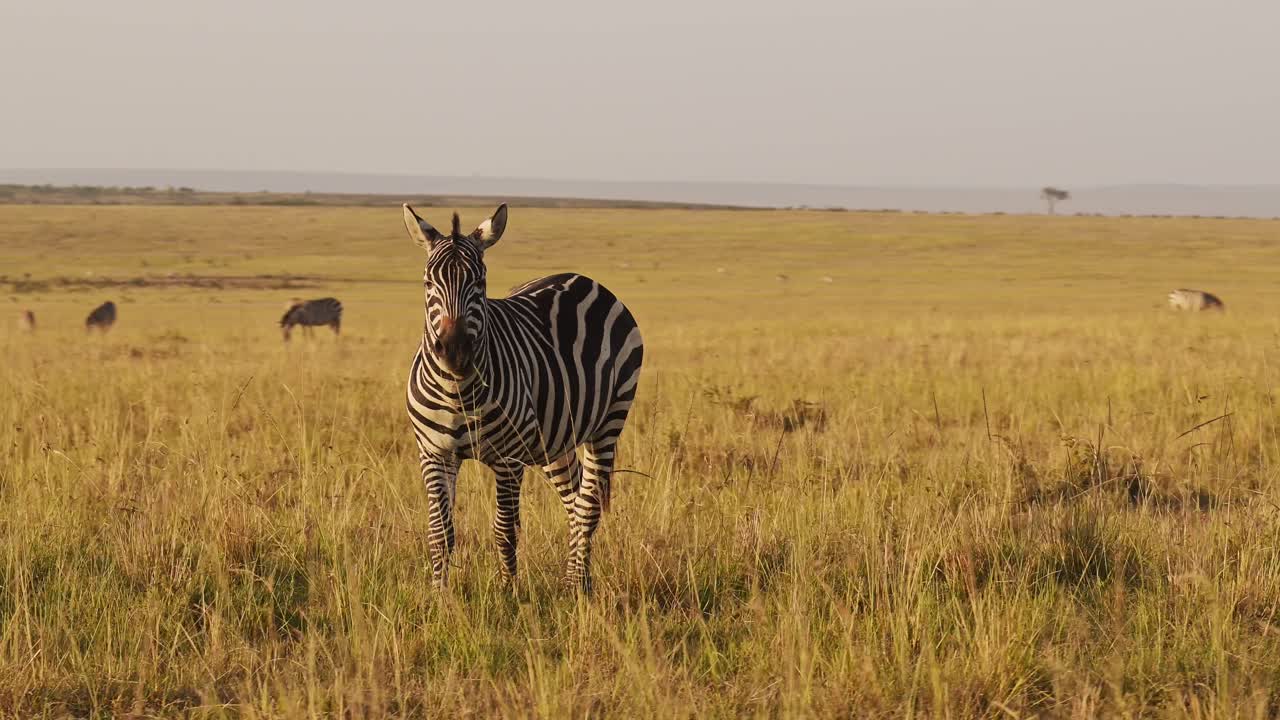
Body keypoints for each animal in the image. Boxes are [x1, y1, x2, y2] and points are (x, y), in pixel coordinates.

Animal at [402, 203, 644, 593]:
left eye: (480, 284)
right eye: (428, 283)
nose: (454, 351)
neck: (457, 391)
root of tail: (581, 278)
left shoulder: (508, 459)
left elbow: (505, 531)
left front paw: (508, 593)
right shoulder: (434, 453)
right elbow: (440, 532)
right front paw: (439, 596)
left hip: (609, 421)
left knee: (588, 506)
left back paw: (577, 586)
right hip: (555, 440)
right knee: (575, 501)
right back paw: (575, 580)